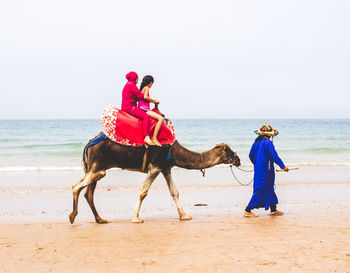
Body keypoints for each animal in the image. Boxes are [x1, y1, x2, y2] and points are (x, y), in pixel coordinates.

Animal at [69, 132, 242, 223]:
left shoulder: (166, 168)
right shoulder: (155, 167)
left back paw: (100, 219)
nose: (238, 159)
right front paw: (136, 218)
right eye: (229, 151)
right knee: (77, 187)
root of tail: (88, 144)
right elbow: (143, 191)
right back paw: (72, 216)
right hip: (97, 167)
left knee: (89, 193)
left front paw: (185, 215)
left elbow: (174, 192)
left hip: (95, 167)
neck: (174, 151)